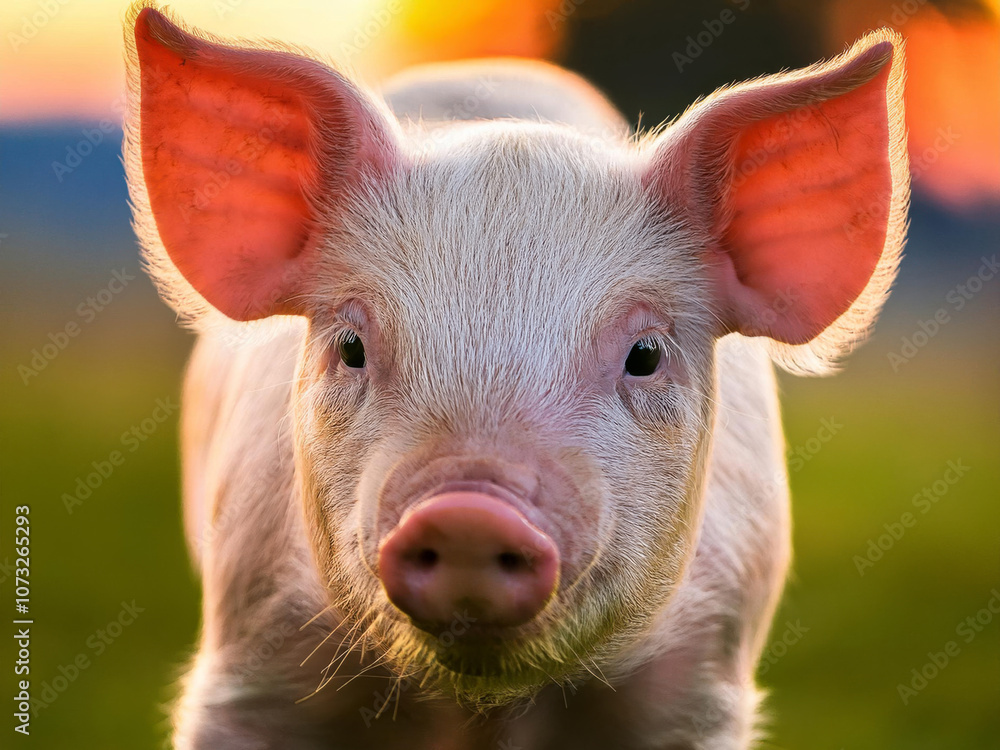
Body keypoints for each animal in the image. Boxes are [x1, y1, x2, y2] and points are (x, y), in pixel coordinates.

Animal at [123, 4, 908, 749]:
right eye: (351, 346)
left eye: (645, 355)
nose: (469, 511)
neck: (480, 709)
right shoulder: (252, 661)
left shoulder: (698, 683)